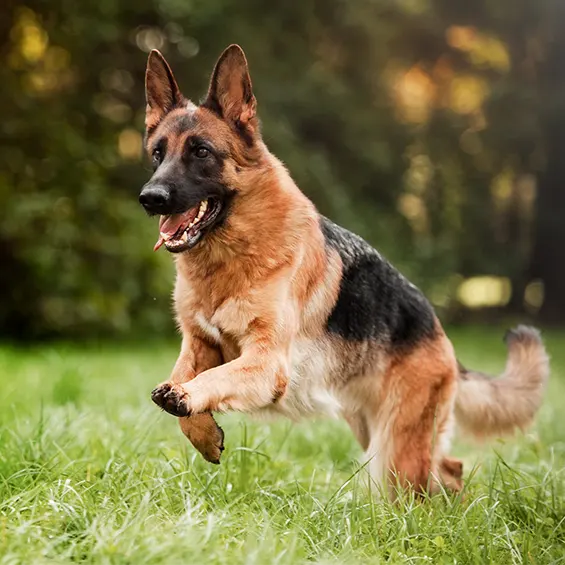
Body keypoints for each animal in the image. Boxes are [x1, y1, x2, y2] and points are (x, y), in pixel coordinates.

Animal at [139, 44, 548, 494]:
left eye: (201, 152)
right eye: (158, 153)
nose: (150, 198)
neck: (230, 259)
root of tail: (440, 333)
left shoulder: (266, 363)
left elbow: (210, 381)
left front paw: (188, 400)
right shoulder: (198, 344)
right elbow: (181, 381)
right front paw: (202, 431)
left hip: (395, 449)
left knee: (425, 481)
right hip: (374, 430)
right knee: (449, 466)